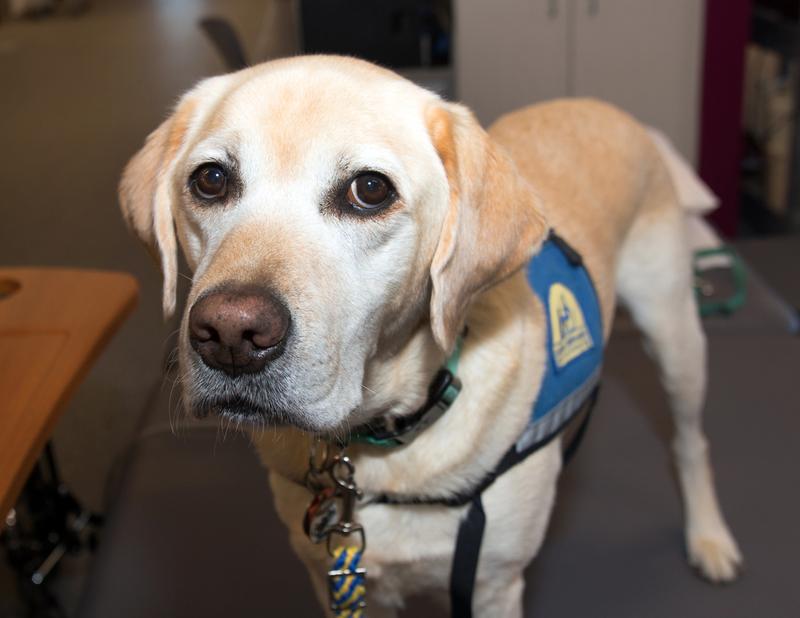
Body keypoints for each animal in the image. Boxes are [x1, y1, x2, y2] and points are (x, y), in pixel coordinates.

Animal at [120, 55, 744, 612]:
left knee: (692, 443)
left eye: (370, 190)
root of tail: (601, 105)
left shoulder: (491, 588)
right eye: (210, 179)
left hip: (676, 336)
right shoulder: (339, 584)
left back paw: (709, 538)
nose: (230, 333)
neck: (377, 450)